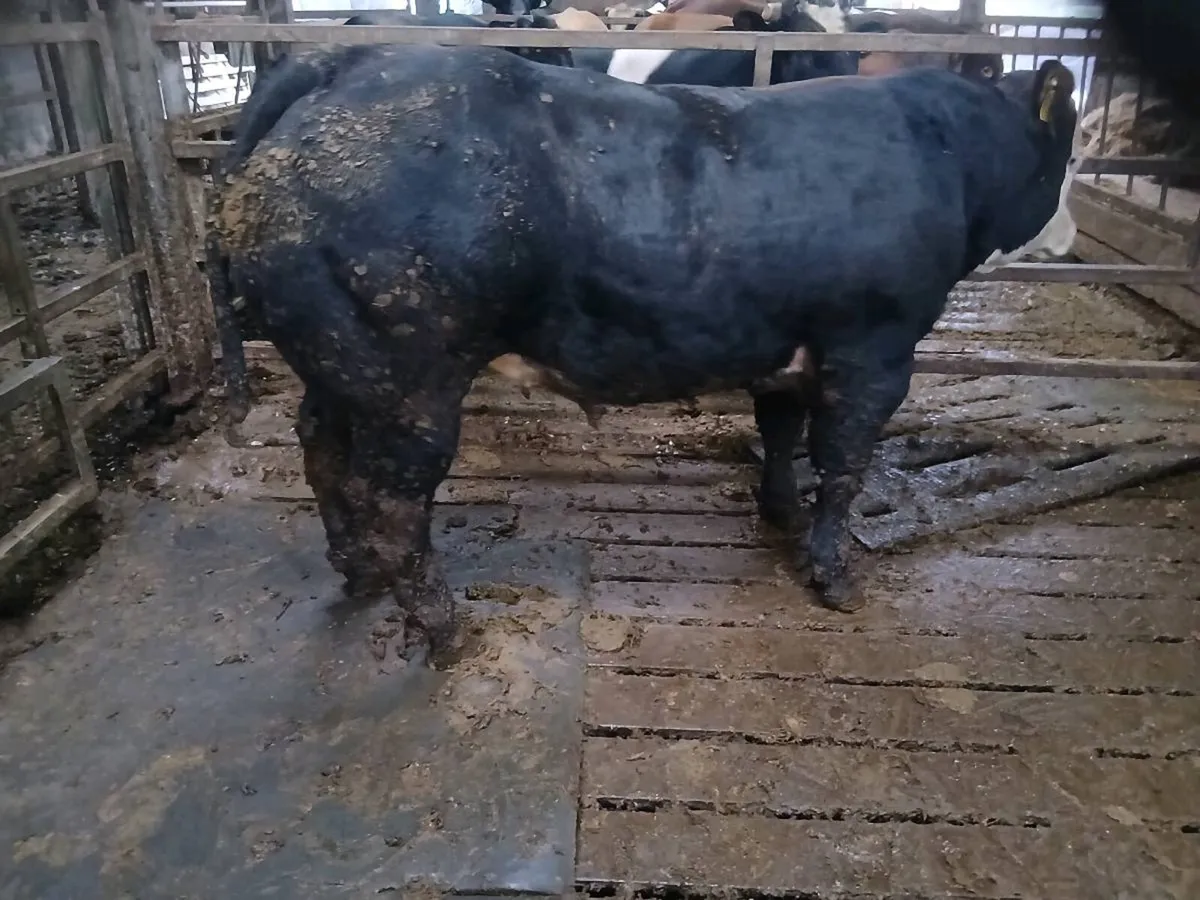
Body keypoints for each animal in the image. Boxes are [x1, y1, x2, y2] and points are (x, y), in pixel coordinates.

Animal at [207, 44, 1078, 655]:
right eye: (1066, 155)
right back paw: (446, 630)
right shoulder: (876, 346)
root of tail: (340, 67)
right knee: (392, 501)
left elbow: (780, 432)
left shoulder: (781, 340)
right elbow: (844, 462)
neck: (948, 154)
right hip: (408, 377)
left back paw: (353, 569)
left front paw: (780, 512)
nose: (1069, 237)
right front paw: (835, 575)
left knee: (319, 447)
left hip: (339, 358)